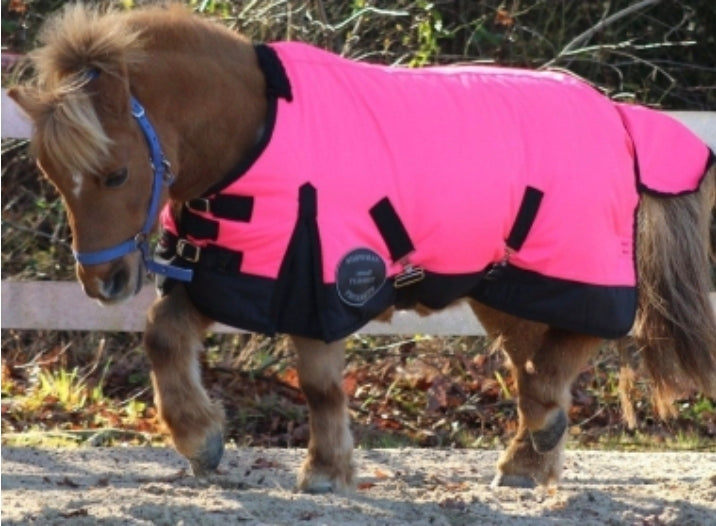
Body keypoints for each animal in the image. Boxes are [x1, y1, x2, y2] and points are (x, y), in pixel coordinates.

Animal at [9, 4, 716, 492]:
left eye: (115, 174)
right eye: (53, 176)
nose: (104, 282)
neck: (257, 132)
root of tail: (617, 112)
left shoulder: (323, 278)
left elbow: (320, 385)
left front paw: (325, 472)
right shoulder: (234, 274)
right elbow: (162, 334)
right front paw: (200, 440)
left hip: (568, 271)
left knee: (568, 352)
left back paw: (538, 434)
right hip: (505, 287)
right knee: (538, 363)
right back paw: (528, 460)